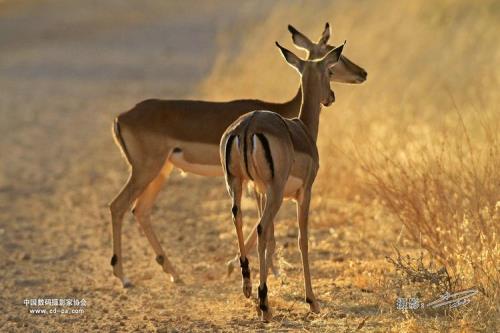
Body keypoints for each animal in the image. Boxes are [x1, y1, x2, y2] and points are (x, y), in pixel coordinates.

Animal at [109, 24, 366, 288]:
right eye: (333, 55)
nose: (362, 73)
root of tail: (121, 117)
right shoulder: (266, 185)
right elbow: (265, 227)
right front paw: (253, 270)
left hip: (161, 171)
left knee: (140, 209)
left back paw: (174, 273)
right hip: (146, 170)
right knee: (118, 206)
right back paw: (124, 277)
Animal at [221, 40, 346, 320]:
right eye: (329, 71)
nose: (331, 97)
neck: (305, 130)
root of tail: (247, 126)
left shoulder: (260, 190)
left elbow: (272, 239)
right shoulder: (304, 192)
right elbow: (302, 240)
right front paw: (312, 301)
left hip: (237, 184)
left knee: (239, 218)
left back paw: (249, 287)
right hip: (276, 193)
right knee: (261, 228)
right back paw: (264, 303)